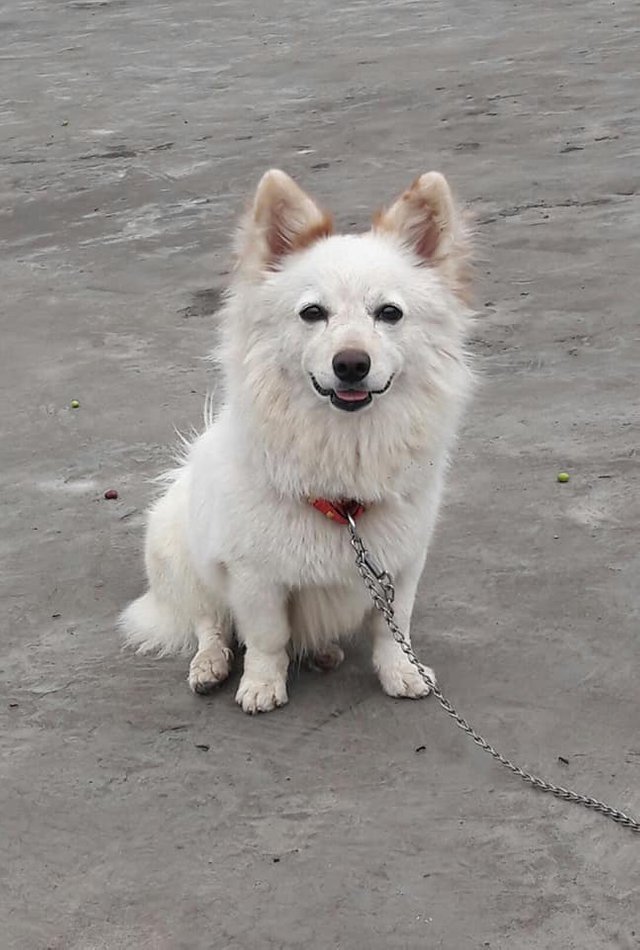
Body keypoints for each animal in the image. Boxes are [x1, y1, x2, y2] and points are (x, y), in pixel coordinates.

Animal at [121, 169, 470, 712]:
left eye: (389, 313)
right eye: (312, 313)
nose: (351, 364)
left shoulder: (400, 564)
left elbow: (394, 630)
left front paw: (402, 673)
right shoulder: (254, 577)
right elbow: (267, 638)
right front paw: (262, 685)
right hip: (181, 558)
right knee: (208, 622)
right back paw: (211, 664)